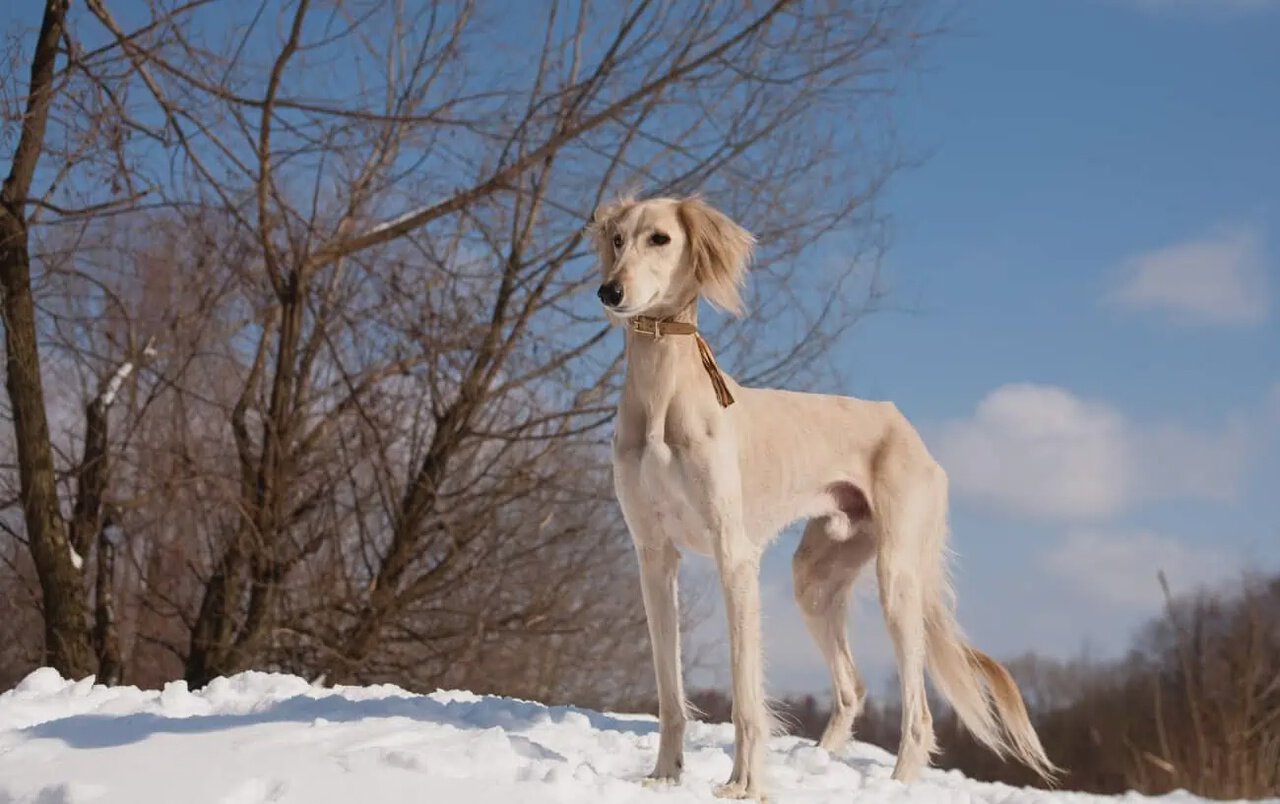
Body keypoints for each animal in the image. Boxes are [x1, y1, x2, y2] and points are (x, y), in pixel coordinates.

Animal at [588, 193, 1059, 798]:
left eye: (661, 239)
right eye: (617, 239)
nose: (610, 292)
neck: (661, 395)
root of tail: (909, 430)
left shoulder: (733, 554)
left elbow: (746, 694)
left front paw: (744, 785)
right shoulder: (653, 556)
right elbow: (670, 690)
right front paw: (665, 776)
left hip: (897, 578)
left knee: (918, 713)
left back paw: (896, 783)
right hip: (815, 578)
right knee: (852, 687)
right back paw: (823, 762)